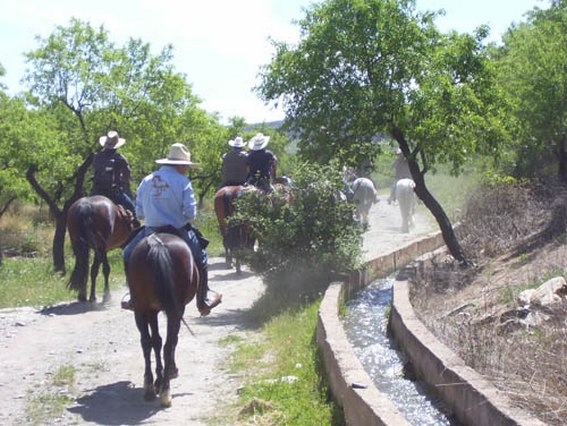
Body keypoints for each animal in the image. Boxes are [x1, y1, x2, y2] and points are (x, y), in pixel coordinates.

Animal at [127, 231, 202, 408]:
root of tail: (157, 244)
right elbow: (166, 341)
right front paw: (165, 376)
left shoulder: (152, 310)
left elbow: (156, 341)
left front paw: (158, 380)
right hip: (172, 309)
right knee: (167, 344)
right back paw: (165, 391)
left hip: (141, 308)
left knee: (147, 343)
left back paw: (151, 388)